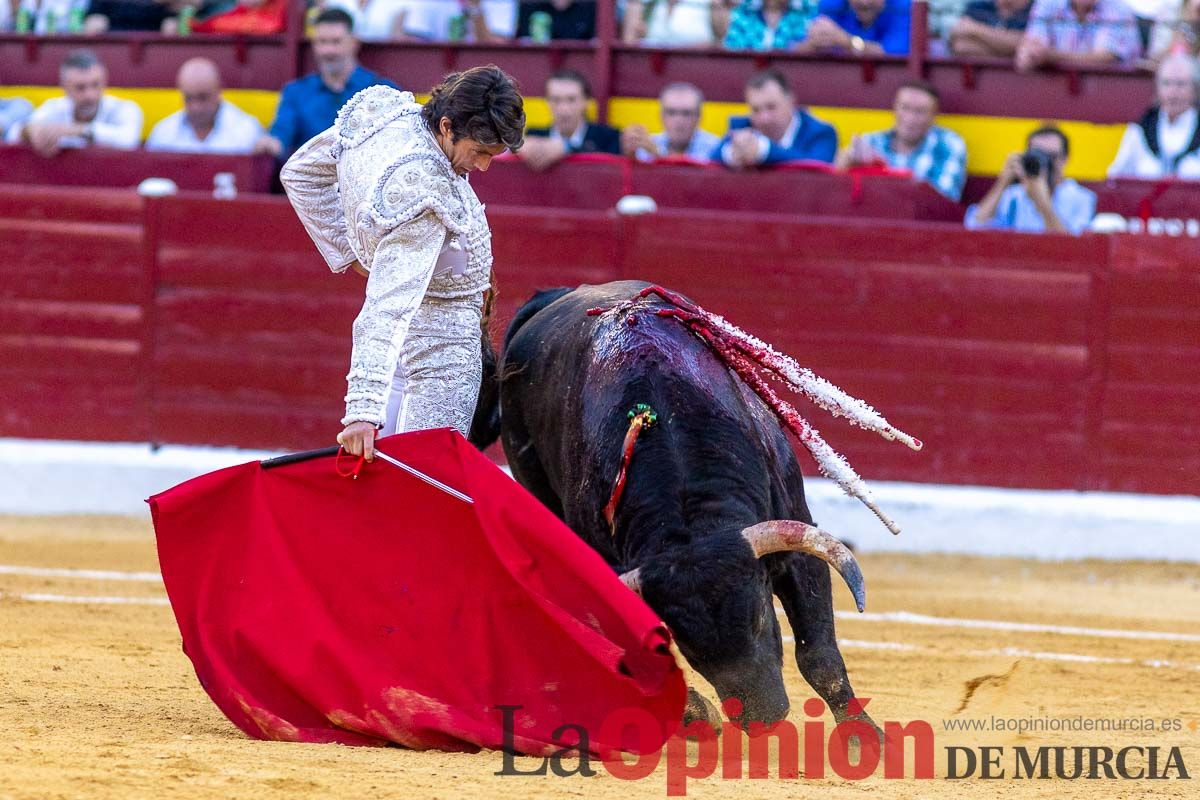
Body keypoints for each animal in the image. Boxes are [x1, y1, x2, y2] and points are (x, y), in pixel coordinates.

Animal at [472, 280, 878, 734]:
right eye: (688, 644)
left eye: (758, 616)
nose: (763, 716)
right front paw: (699, 715)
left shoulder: (796, 534)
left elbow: (819, 655)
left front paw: (866, 739)